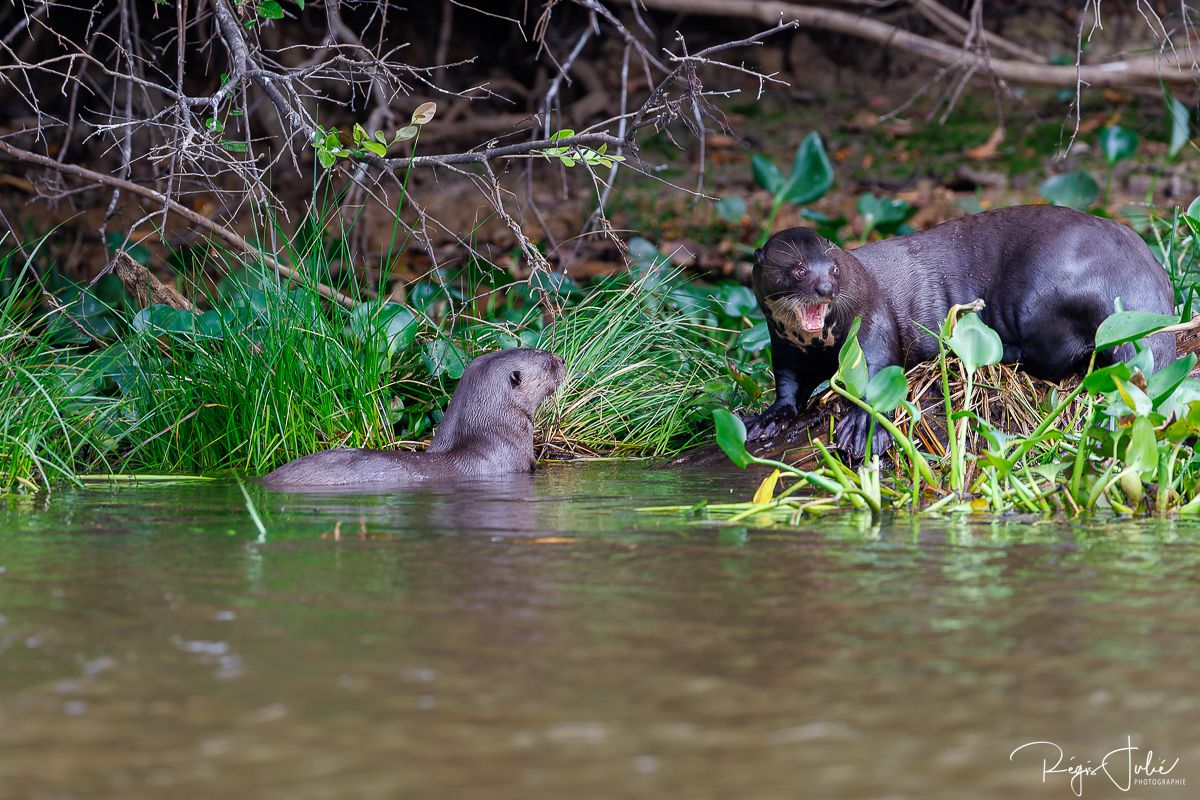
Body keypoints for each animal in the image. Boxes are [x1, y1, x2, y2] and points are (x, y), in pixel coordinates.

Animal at [744, 203, 1176, 460]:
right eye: (799, 270)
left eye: (834, 269)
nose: (825, 288)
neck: (819, 344)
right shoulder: (784, 348)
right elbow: (787, 384)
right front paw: (768, 418)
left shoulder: (872, 318)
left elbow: (878, 370)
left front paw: (864, 426)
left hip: (1042, 296)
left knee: (1055, 360)